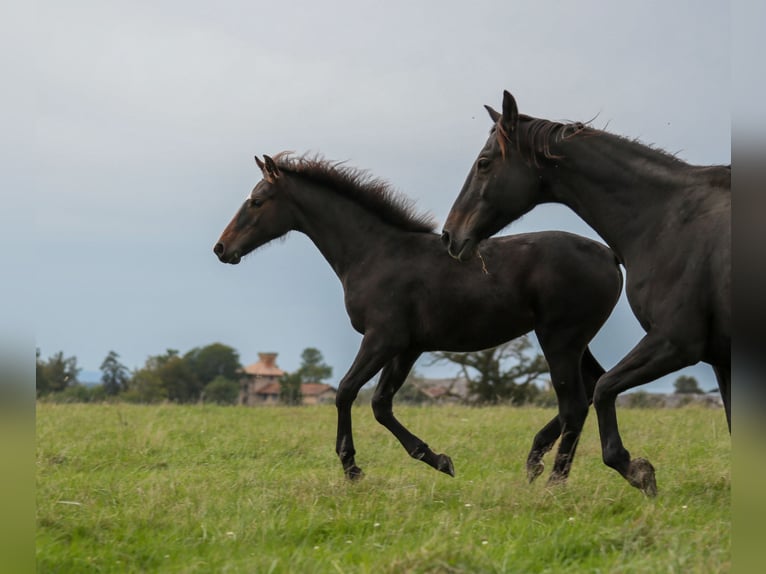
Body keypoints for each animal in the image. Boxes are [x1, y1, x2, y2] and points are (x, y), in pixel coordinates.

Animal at [214, 153, 624, 482]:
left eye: (256, 201)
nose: (221, 248)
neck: (374, 254)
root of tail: (611, 255)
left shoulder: (382, 339)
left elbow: (346, 391)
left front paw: (352, 468)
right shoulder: (408, 347)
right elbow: (381, 403)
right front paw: (437, 459)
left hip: (559, 338)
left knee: (576, 402)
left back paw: (553, 474)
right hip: (574, 341)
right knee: (594, 386)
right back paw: (545, 459)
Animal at [440, 90, 736, 496]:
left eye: (484, 163)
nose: (450, 236)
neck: (666, 219)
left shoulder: (677, 342)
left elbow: (604, 389)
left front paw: (637, 469)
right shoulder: (720, 359)